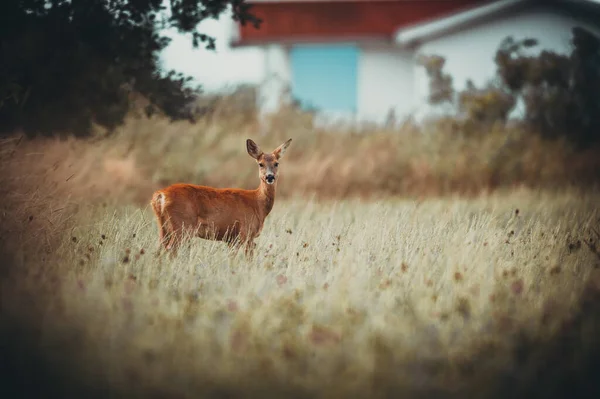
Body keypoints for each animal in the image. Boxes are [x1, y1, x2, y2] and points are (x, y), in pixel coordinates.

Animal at [149, 138, 290, 256]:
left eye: (276, 163)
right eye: (260, 164)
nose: (270, 177)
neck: (257, 204)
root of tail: (160, 195)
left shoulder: (232, 239)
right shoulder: (246, 233)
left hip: (163, 227)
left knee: (159, 250)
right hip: (182, 225)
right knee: (170, 249)